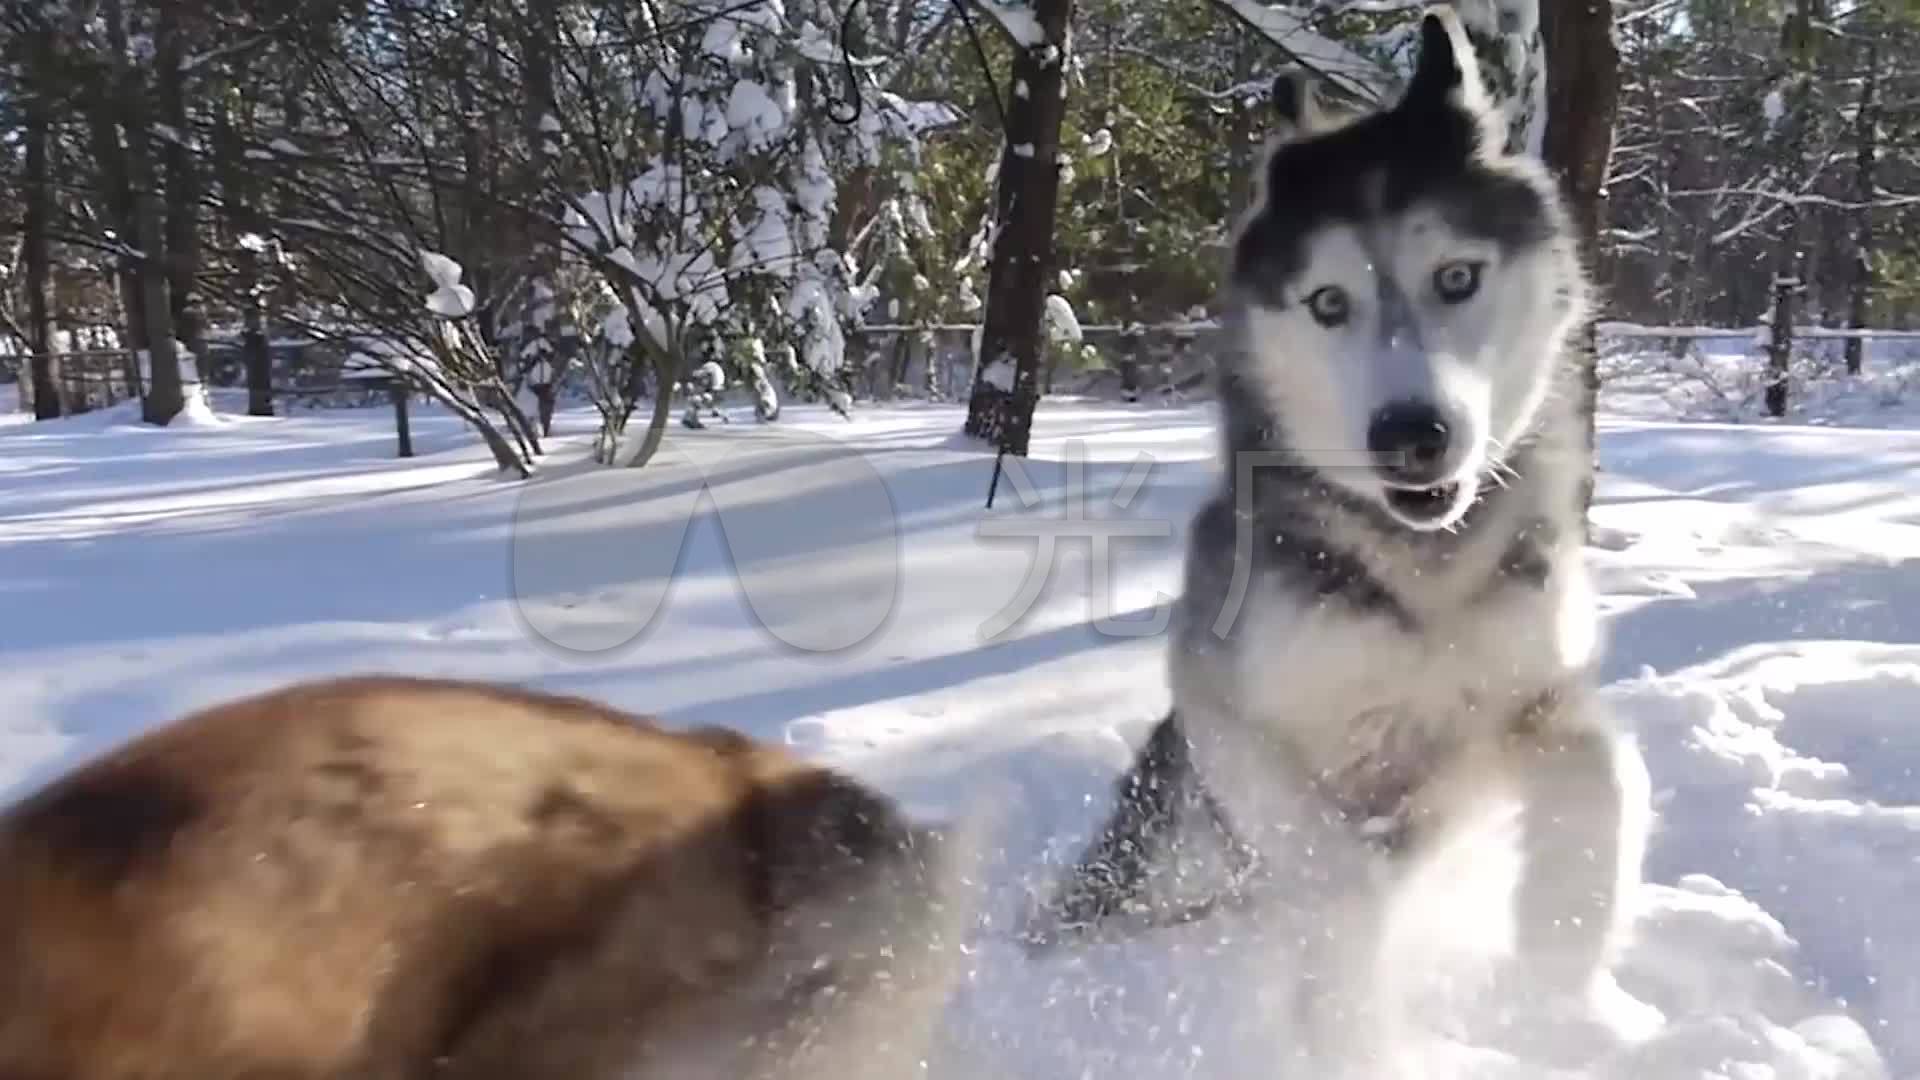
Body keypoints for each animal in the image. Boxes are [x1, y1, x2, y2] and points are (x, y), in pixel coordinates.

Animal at [1029, 6, 1658, 1068]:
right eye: (1329, 303)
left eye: (1457, 276)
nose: (1411, 434)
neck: (1423, 573)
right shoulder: (1226, 714)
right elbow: (1339, 882)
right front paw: (1353, 1030)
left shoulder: (1541, 704)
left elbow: (1597, 800)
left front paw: (1568, 1011)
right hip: (1170, 849)